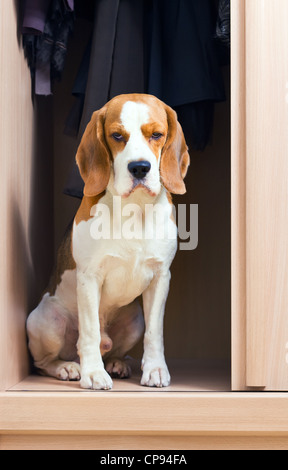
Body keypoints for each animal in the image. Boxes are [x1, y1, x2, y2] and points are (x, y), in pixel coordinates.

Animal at [26, 92, 189, 390]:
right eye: (117, 135)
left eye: (157, 134)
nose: (140, 168)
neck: (135, 209)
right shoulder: (90, 277)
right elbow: (89, 331)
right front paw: (92, 373)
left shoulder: (161, 277)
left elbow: (155, 332)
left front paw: (155, 369)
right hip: (45, 321)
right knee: (44, 362)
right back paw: (68, 367)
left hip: (134, 318)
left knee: (117, 348)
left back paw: (116, 362)